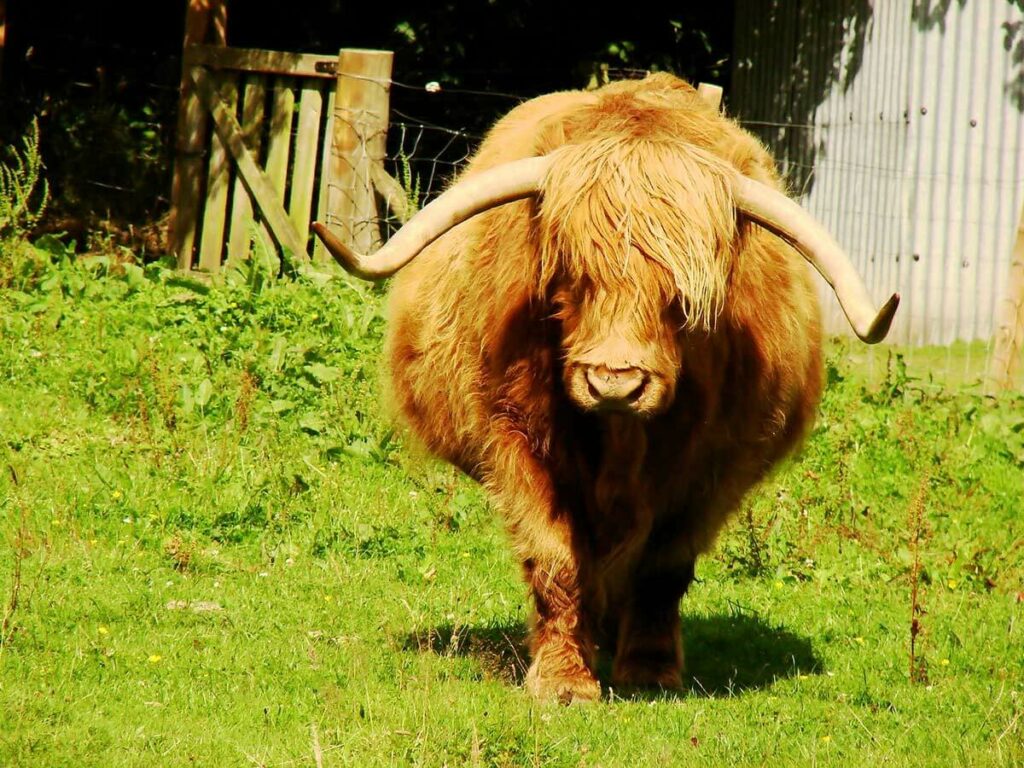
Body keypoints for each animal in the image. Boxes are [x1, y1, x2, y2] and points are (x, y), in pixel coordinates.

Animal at [313, 72, 897, 704]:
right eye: (572, 278)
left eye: (681, 298)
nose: (616, 382)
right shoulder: (511, 436)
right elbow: (553, 557)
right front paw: (563, 680)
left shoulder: (717, 467)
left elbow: (664, 566)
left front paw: (650, 668)